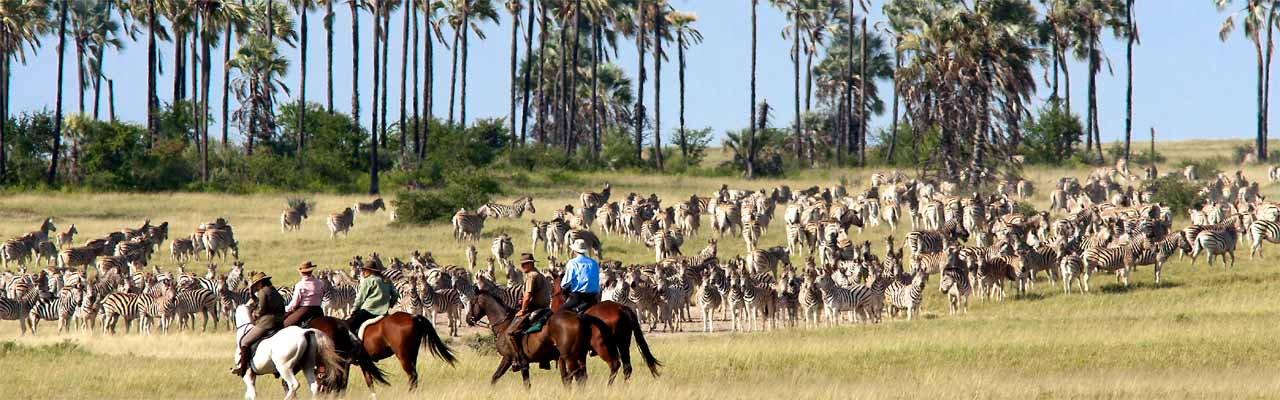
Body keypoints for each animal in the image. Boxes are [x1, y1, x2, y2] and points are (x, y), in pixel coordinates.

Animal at [308, 312, 458, 389]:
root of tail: (413, 317)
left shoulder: (345, 363)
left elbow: (344, 382)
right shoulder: (361, 364)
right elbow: (369, 382)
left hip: (403, 356)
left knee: (412, 375)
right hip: (412, 355)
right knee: (414, 376)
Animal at [465, 288, 624, 387]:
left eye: (472, 302)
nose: (468, 319)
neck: (504, 325)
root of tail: (579, 317)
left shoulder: (509, 359)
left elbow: (500, 378)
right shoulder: (521, 362)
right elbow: (506, 379)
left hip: (578, 354)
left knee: (605, 367)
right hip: (579, 355)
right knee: (581, 376)